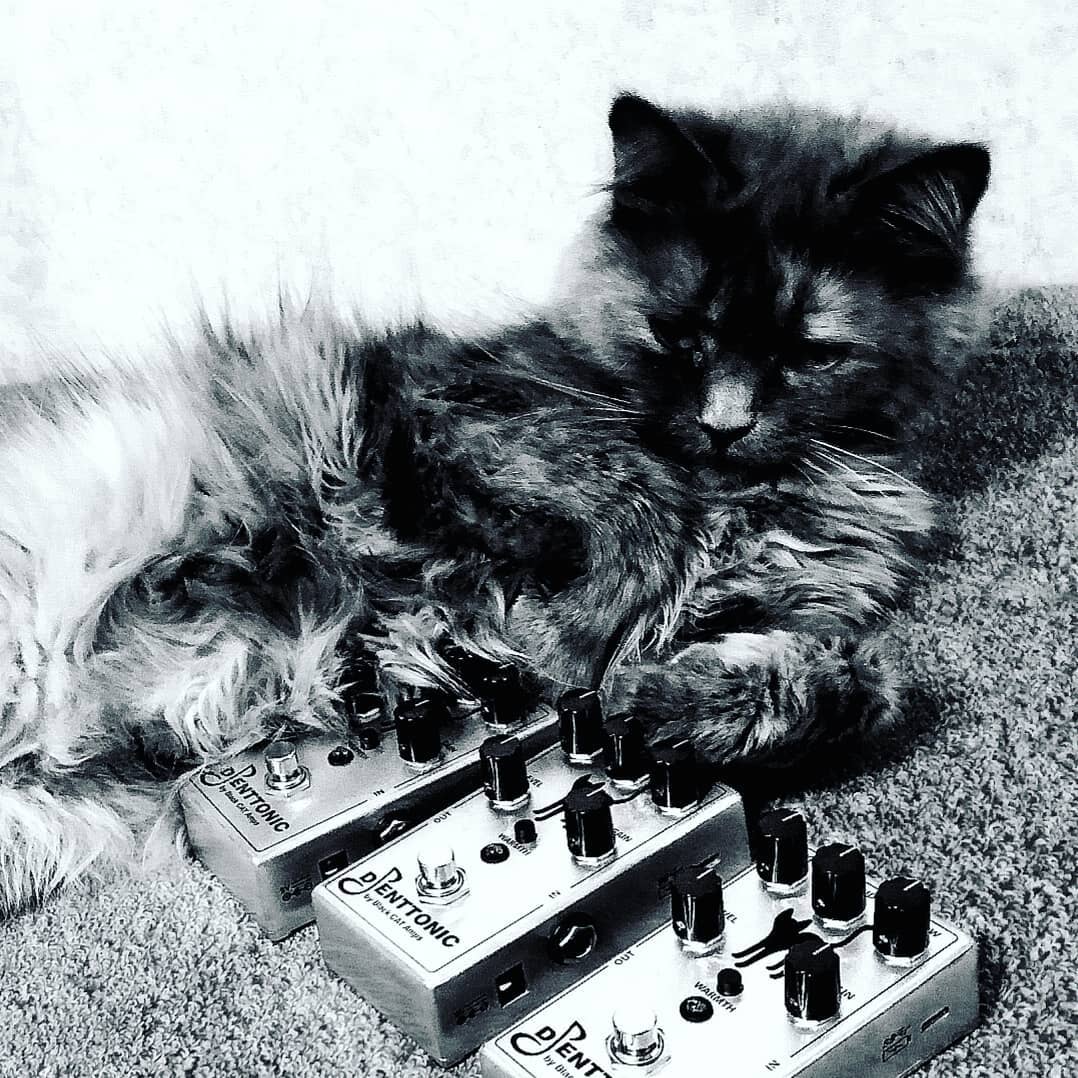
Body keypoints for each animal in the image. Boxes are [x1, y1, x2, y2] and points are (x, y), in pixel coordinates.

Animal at [0, 93, 990, 916]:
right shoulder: (456, 416)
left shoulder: (804, 609)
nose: (725, 425)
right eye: (679, 336)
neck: (746, 494)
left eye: (809, 355)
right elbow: (634, 501)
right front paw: (570, 644)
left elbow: (864, 688)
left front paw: (652, 698)